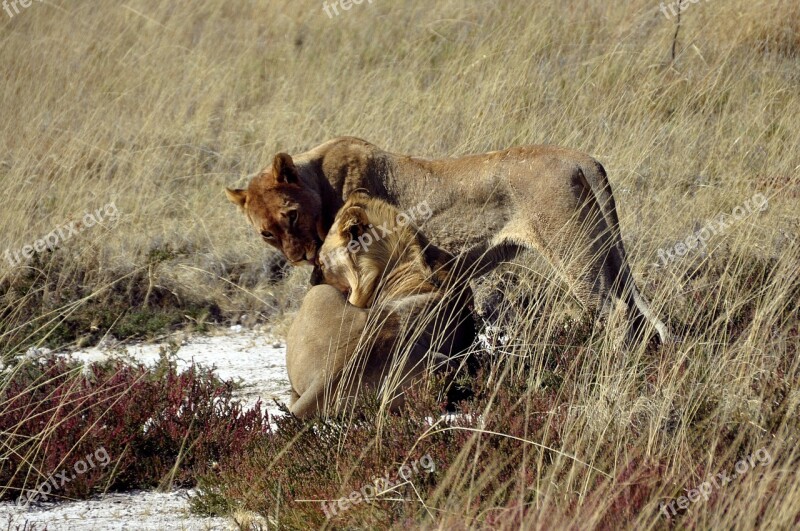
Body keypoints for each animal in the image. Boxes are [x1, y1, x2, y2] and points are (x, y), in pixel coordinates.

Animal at [228, 137, 672, 342]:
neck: (320, 182)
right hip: (602, 249)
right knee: (631, 306)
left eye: (290, 214)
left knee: (615, 311)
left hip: (573, 251)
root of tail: (582, 158)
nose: (300, 255)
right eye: (266, 232)